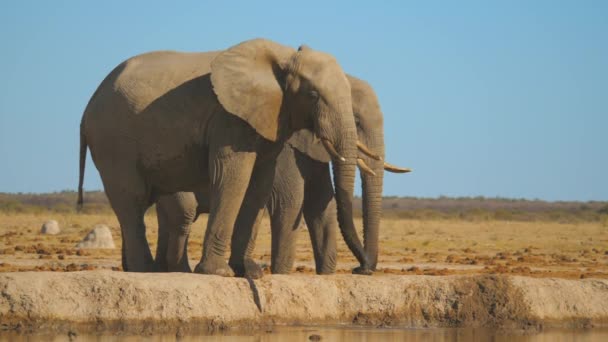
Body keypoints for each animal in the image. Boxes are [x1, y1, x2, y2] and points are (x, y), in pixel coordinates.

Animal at [76, 38, 370, 278]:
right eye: (313, 95)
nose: (361, 269)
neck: (283, 56)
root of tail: (87, 107)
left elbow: (259, 184)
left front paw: (248, 272)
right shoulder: (229, 118)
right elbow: (233, 177)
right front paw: (218, 273)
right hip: (113, 142)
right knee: (133, 200)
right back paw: (145, 271)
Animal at [152, 75, 410, 276]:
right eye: (356, 121)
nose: (361, 269)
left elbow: (321, 203)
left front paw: (325, 275)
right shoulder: (284, 149)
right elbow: (291, 201)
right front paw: (281, 274)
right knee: (184, 215)